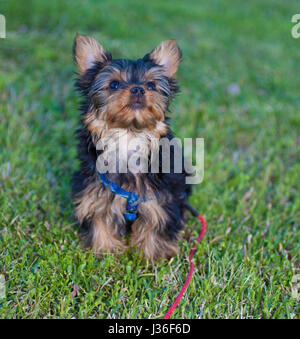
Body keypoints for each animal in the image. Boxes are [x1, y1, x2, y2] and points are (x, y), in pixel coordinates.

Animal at [71, 33, 191, 260]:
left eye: (151, 85)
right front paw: (105, 251)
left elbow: (156, 225)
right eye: (114, 84)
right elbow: (100, 219)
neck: (129, 133)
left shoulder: (159, 197)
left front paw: (153, 257)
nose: (138, 88)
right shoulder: (96, 190)